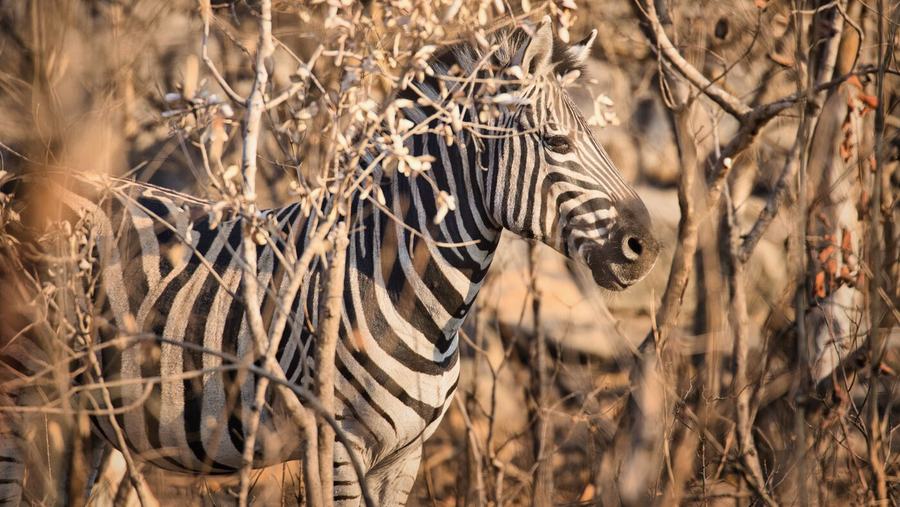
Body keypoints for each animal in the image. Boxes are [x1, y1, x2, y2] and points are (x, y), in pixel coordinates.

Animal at [0, 17, 659, 506]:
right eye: (557, 142)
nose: (646, 248)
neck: (409, 288)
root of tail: (19, 181)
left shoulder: (405, 456)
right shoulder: (340, 445)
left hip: (101, 409)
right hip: (19, 387)